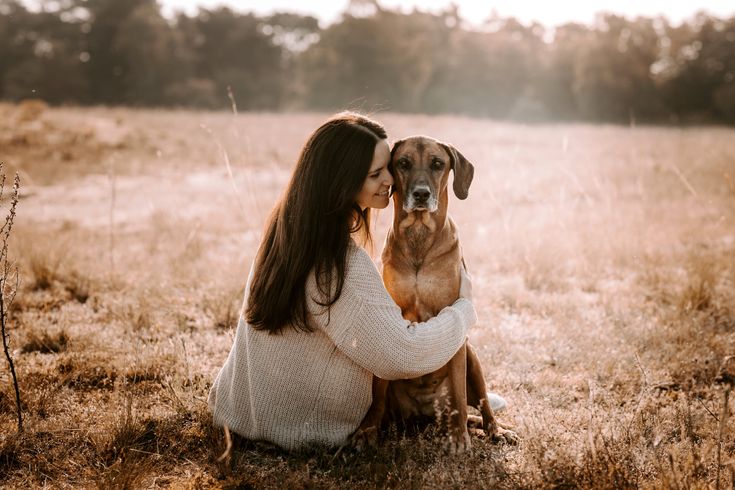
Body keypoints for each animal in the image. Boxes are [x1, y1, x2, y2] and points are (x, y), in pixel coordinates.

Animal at [352, 135, 516, 452]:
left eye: (438, 164)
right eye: (403, 163)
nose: (420, 194)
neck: (419, 236)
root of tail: (426, 414)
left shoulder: (455, 326)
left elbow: (461, 398)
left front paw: (459, 438)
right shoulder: (387, 324)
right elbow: (377, 393)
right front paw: (367, 430)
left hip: (472, 358)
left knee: (481, 405)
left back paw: (494, 430)